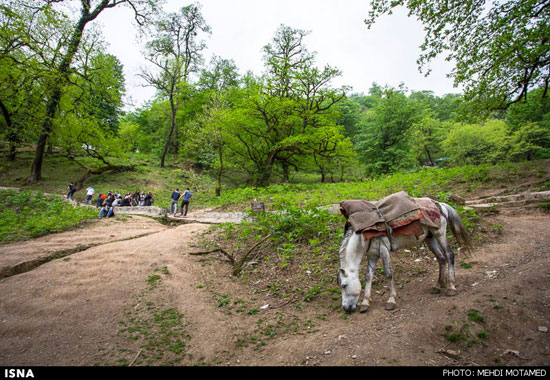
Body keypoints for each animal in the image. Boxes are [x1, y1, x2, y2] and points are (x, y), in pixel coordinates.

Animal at [338, 202, 472, 312]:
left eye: (344, 285)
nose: (345, 308)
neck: (363, 237)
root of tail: (439, 204)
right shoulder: (372, 255)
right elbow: (368, 277)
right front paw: (365, 303)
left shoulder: (384, 250)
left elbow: (388, 273)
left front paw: (391, 300)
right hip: (429, 237)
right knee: (441, 257)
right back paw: (438, 286)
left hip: (439, 233)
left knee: (449, 255)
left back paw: (451, 287)